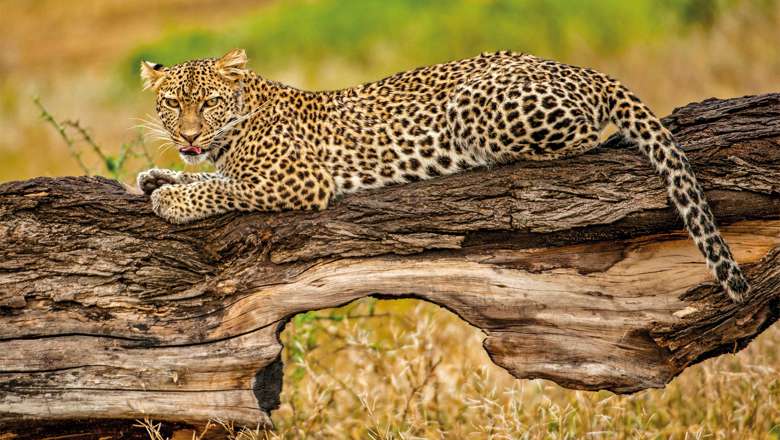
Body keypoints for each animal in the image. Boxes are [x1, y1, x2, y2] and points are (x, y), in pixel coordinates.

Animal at [139, 48, 748, 302]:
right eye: (171, 104)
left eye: (209, 103)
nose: (189, 136)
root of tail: (586, 71)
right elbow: (201, 175)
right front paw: (157, 177)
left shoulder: (298, 180)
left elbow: (226, 185)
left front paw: (172, 199)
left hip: (474, 106)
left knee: (585, 140)